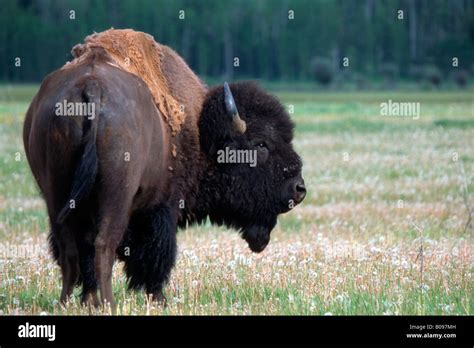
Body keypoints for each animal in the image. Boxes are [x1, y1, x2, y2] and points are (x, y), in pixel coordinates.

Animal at [24, 29, 308, 310]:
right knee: (103, 245)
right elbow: (158, 254)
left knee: (70, 248)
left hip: (57, 196)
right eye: (261, 144)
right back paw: (109, 303)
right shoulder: (163, 207)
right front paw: (159, 299)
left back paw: (69, 302)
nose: (299, 188)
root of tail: (91, 86)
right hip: (116, 197)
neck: (201, 133)